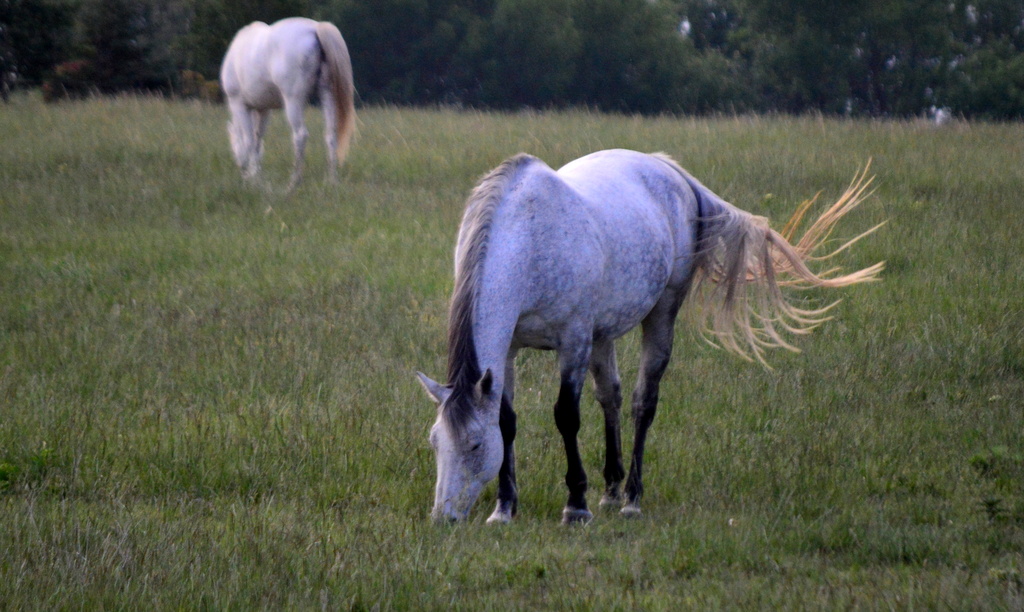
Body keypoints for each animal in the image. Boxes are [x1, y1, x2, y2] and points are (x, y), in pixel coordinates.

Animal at [220, 17, 356, 189]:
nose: (240, 169)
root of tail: (314, 28)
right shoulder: (264, 110)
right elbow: (258, 141)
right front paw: (256, 176)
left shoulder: (239, 104)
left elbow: (249, 140)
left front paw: (251, 179)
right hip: (327, 94)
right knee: (331, 135)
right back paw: (331, 180)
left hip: (293, 100)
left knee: (300, 136)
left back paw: (294, 182)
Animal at [415, 147, 880, 521]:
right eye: (435, 444)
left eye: (475, 447)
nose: (443, 517)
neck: (529, 238)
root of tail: (668, 169)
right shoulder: (509, 349)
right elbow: (508, 421)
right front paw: (505, 508)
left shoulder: (574, 341)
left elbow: (566, 416)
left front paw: (576, 505)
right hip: (604, 333)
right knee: (612, 398)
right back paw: (611, 489)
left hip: (660, 313)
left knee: (643, 401)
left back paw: (632, 498)